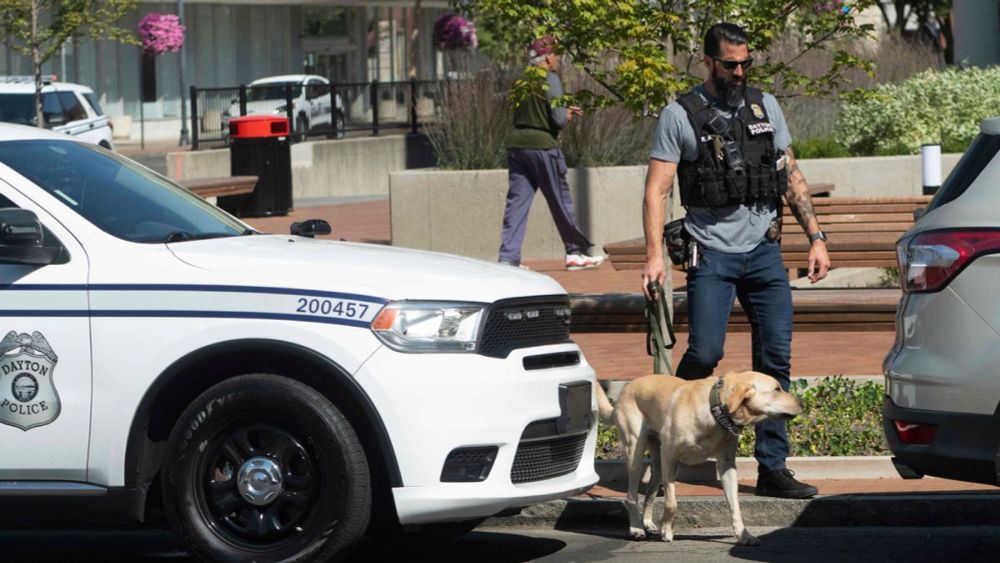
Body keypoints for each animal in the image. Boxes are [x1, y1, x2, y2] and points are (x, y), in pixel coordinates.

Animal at [596, 370, 800, 548]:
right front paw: (667, 530)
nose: (802, 403)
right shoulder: (669, 456)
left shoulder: (727, 465)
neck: (716, 410)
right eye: (777, 389)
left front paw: (744, 535)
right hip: (635, 452)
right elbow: (671, 502)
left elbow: (734, 505)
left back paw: (647, 521)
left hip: (658, 461)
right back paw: (637, 528)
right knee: (631, 494)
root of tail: (626, 389)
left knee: (650, 492)